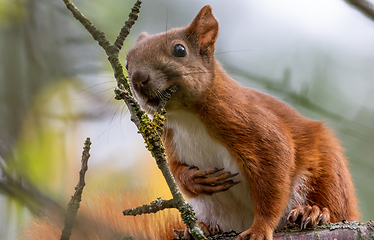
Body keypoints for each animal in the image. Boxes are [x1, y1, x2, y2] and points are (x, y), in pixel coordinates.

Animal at [127, 4, 360, 240]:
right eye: (127, 62)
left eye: (179, 50)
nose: (138, 79)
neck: (186, 117)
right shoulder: (169, 142)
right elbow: (175, 171)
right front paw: (194, 180)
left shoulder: (251, 124)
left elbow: (274, 174)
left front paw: (260, 228)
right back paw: (199, 228)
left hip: (329, 173)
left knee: (336, 204)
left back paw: (314, 212)